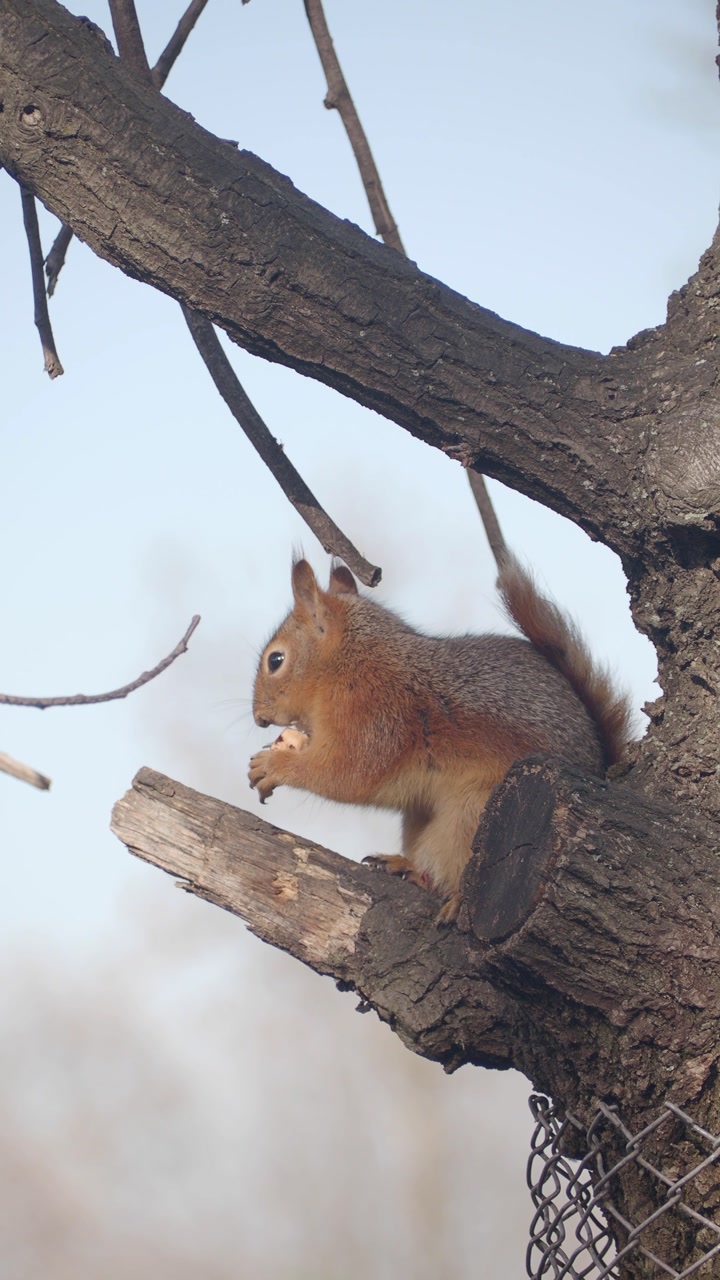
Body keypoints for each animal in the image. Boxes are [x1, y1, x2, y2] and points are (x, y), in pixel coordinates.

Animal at [249, 555, 631, 924]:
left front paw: (272, 765)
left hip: (475, 814)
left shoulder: (375, 718)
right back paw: (404, 865)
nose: (259, 718)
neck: (349, 662)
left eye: (276, 660)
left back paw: (457, 899)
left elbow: (345, 773)